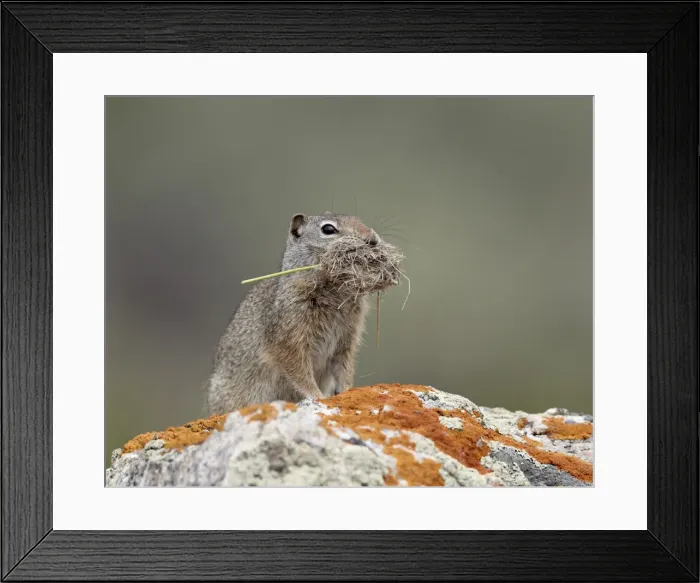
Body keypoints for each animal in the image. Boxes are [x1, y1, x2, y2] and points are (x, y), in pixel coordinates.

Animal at [205, 212, 402, 415]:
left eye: (358, 219)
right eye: (328, 229)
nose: (372, 239)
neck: (333, 291)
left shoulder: (346, 341)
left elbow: (344, 369)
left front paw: (347, 390)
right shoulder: (289, 340)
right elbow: (300, 373)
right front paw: (317, 396)